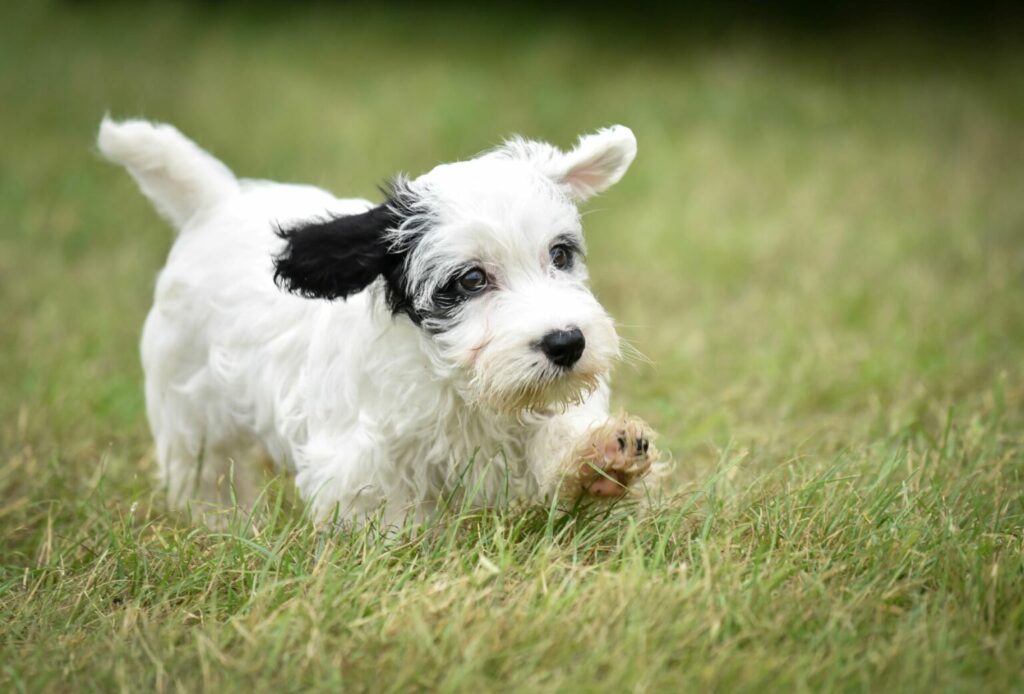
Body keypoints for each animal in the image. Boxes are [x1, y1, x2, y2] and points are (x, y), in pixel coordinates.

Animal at [97, 116, 663, 524]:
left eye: (560, 255)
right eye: (471, 280)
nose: (566, 343)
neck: (457, 383)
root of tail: (217, 201)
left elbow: (558, 432)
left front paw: (600, 461)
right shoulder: (364, 462)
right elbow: (388, 518)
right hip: (189, 407)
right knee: (208, 474)